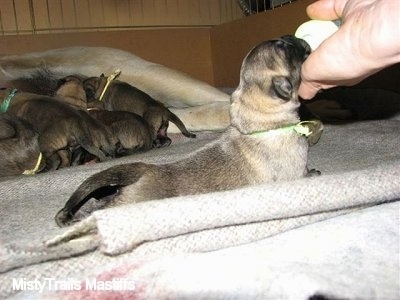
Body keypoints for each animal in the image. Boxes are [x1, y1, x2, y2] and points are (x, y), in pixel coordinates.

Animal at [54, 35, 320, 227]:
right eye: (286, 47)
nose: (293, 36)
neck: (259, 125)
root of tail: (146, 170)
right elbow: (303, 175)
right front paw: (313, 173)